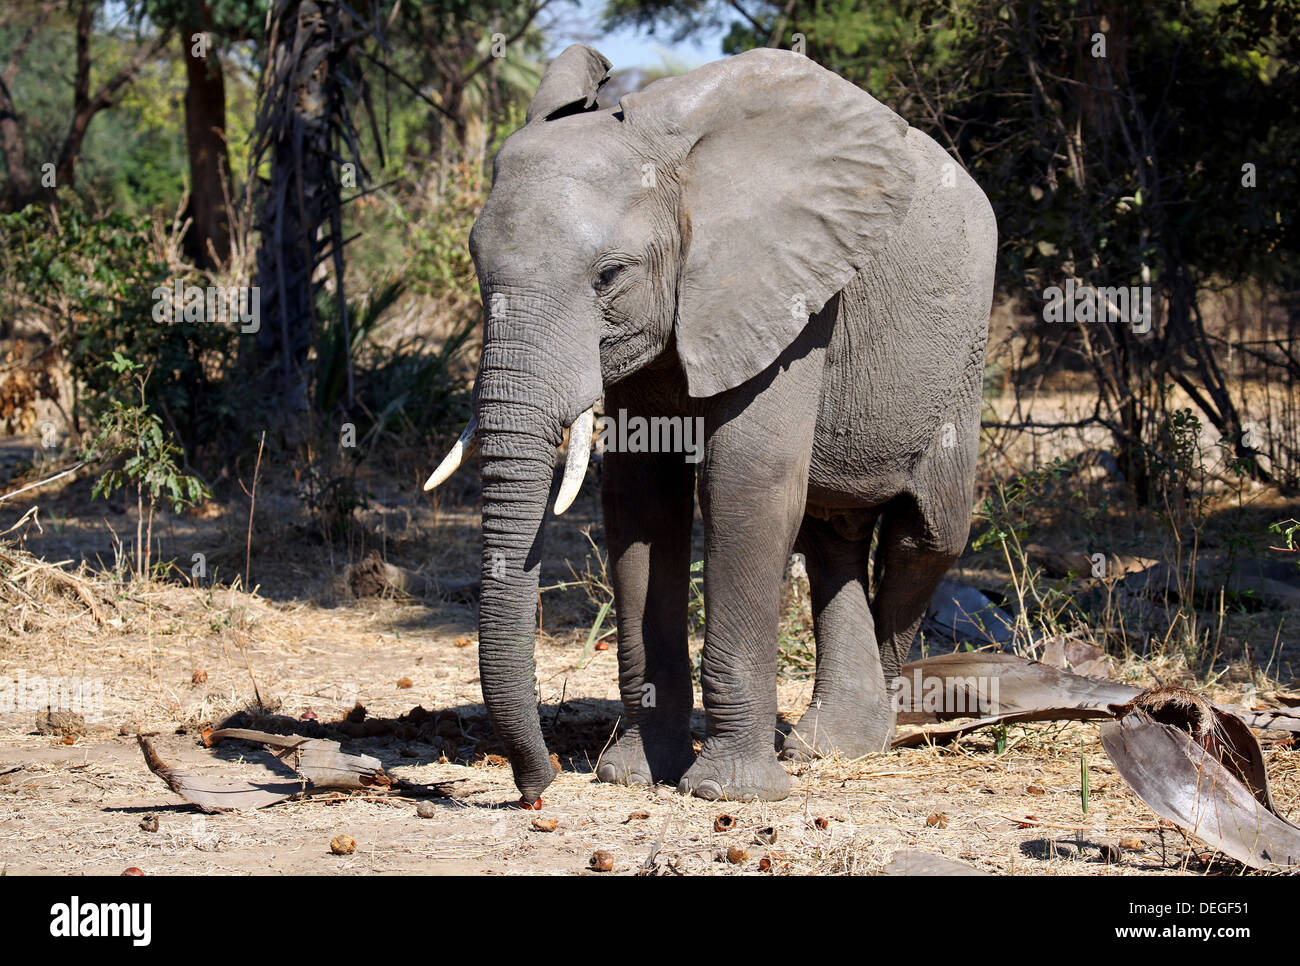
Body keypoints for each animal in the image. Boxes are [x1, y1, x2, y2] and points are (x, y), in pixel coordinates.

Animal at [426, 41, 993, 806]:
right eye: (477, 267)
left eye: (609, 276)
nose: (536, 790)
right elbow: (642, 499)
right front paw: (636, 776)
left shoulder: (783, 290)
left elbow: (744, 485)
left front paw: (728, 793)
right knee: (832, 532)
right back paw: (830, 743)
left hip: (962, 359)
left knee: (925, 537)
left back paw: (863, 737)